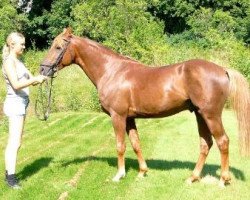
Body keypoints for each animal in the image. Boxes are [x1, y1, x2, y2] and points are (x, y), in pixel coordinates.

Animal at [40, 27, 249, 186]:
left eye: (58, 47)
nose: (43, 69)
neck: (112, 71)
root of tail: (222, 69)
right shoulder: (130, 118)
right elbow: (135, 144)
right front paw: (142, 172)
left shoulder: (118, 116)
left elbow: (120, 145)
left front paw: (119, 175)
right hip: (200, 114)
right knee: (206, 144)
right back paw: (192, 177)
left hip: (211, 115)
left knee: (223, 142)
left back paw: (223, 180)